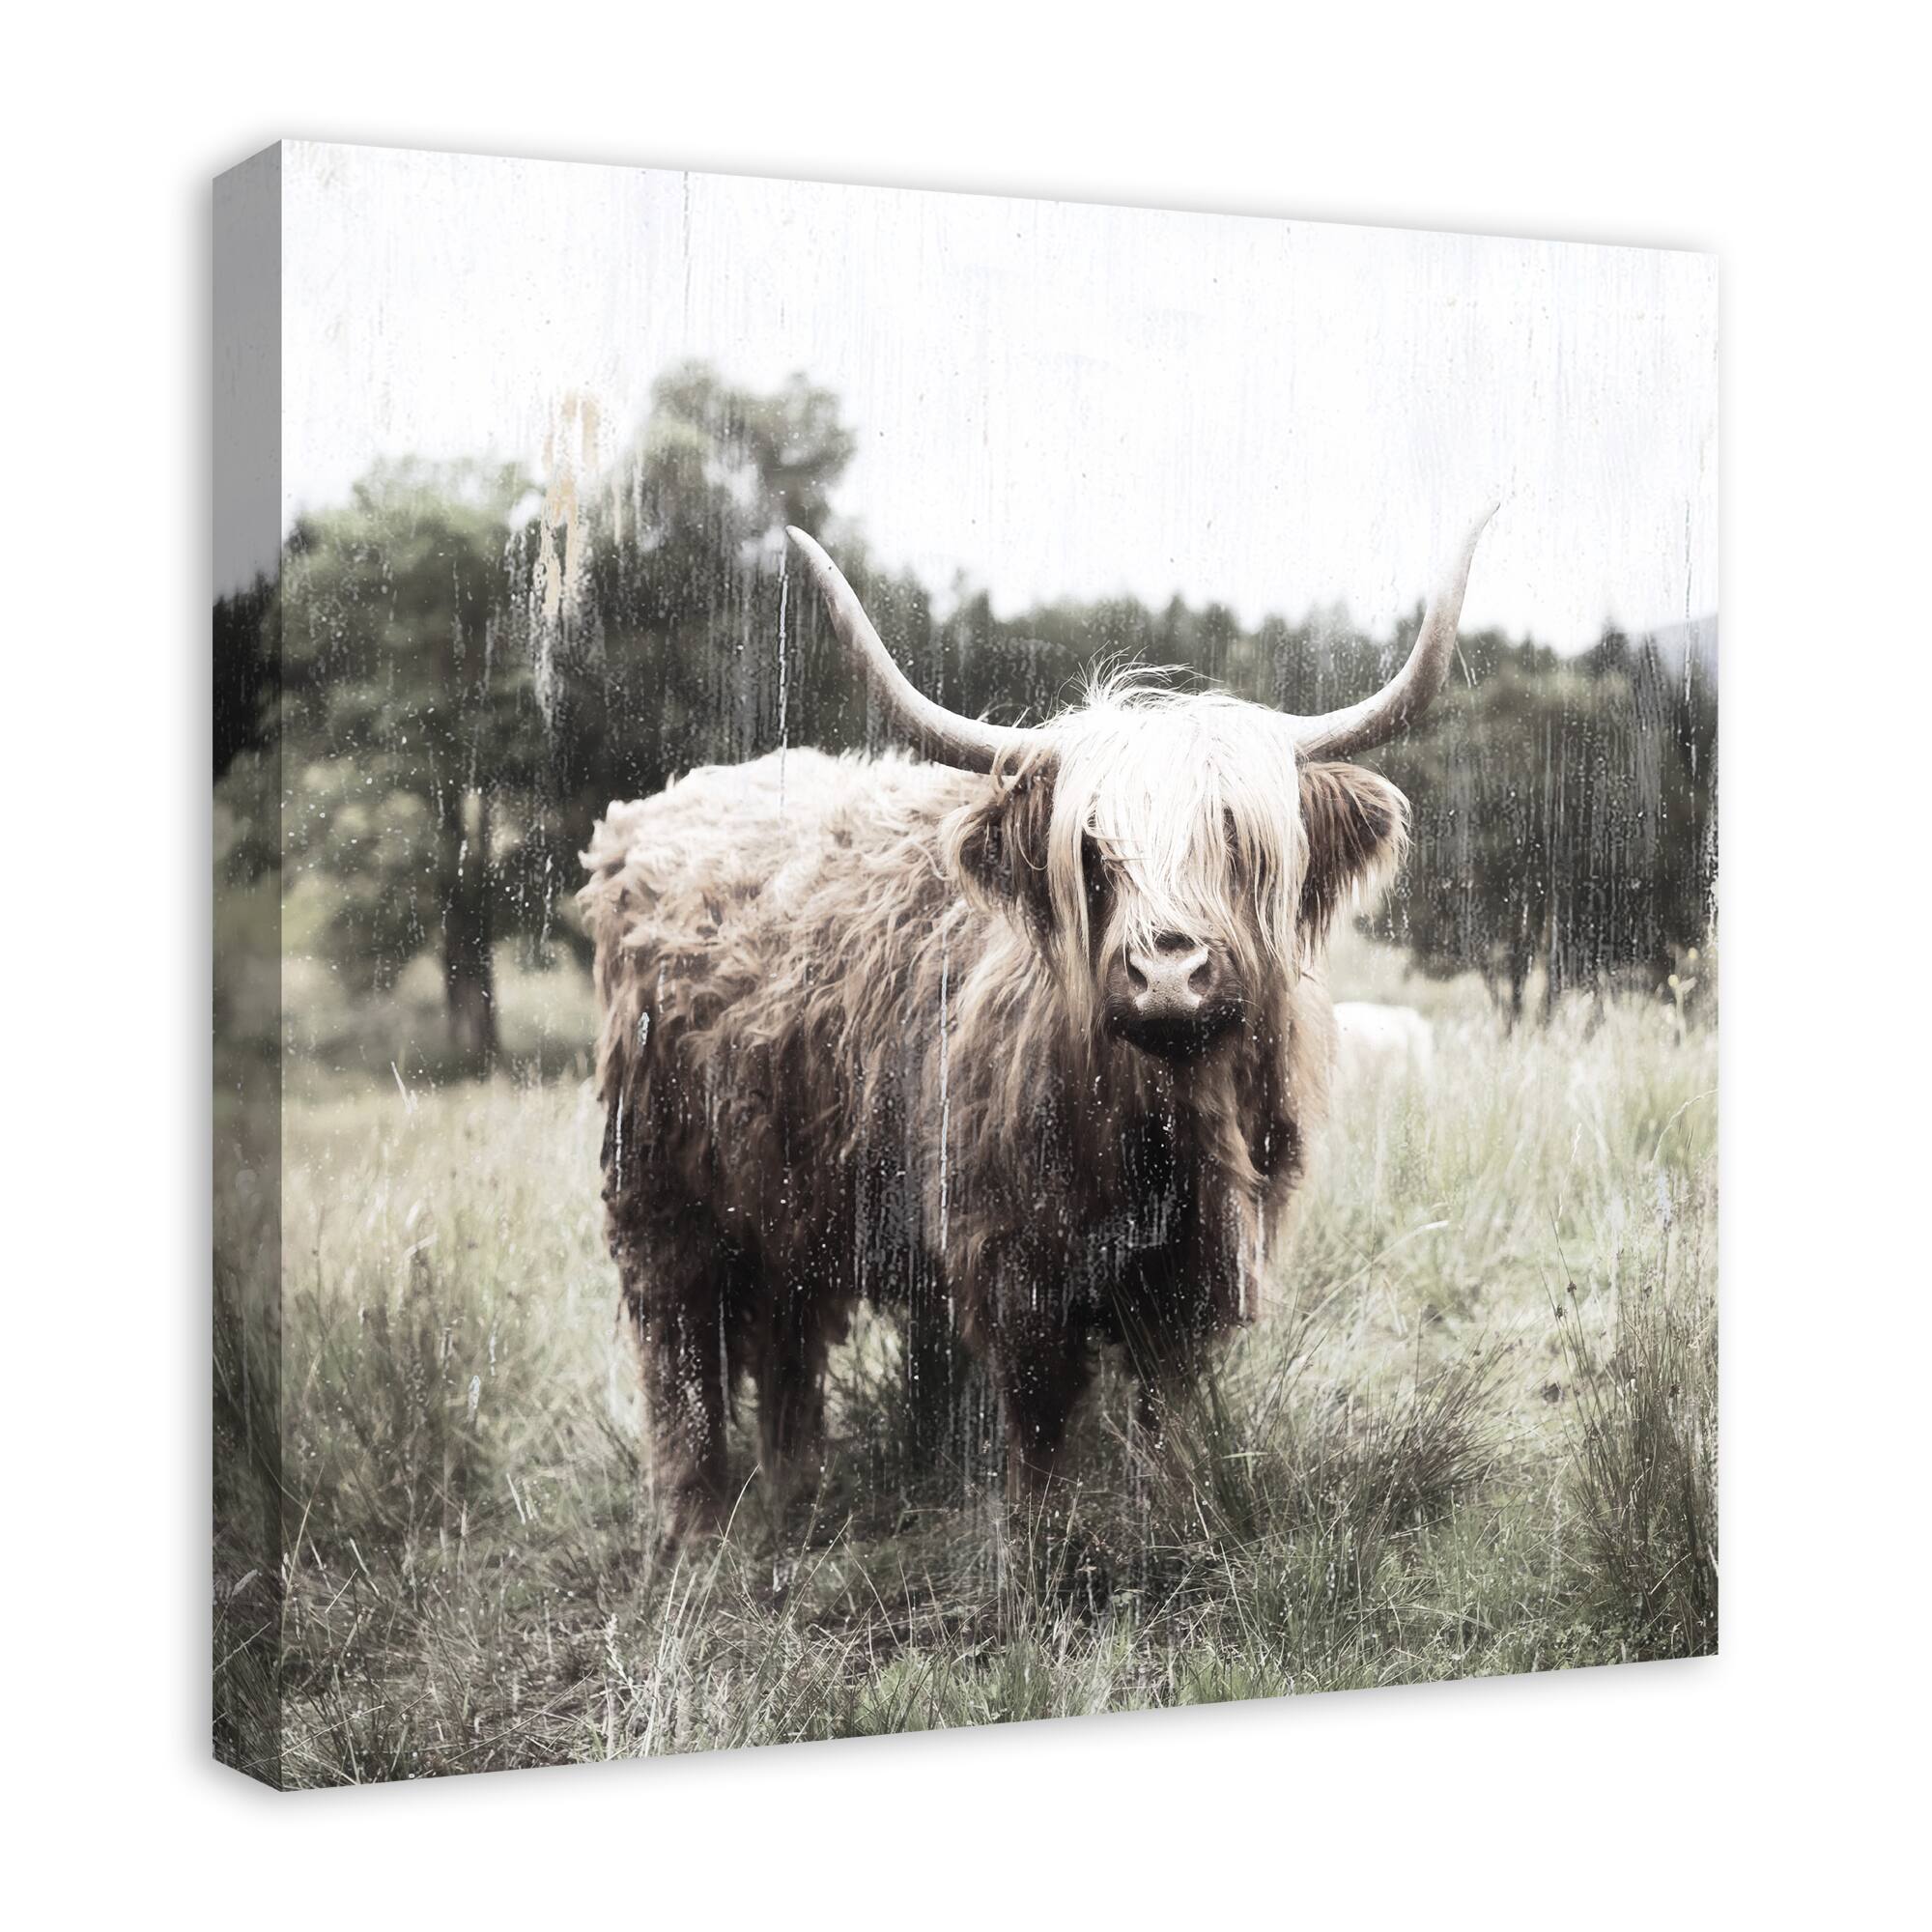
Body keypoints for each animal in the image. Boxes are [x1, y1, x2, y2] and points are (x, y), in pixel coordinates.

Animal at [579, 509, 1497, 1542]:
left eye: (1236, 840)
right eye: (1091, 848)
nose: (1167, 972)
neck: (1161, 1125)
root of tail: (653, 812)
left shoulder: (1199, 1275)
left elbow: (1169, 1416)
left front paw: (1176, 1526)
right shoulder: (1013, 1264)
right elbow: (1041, 1432)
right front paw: (1044, 1555)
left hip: (788, 1190)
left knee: (787, 1341)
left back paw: (796, 1500)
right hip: (657, 1183)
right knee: (678, 1347)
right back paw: (694, 1533)